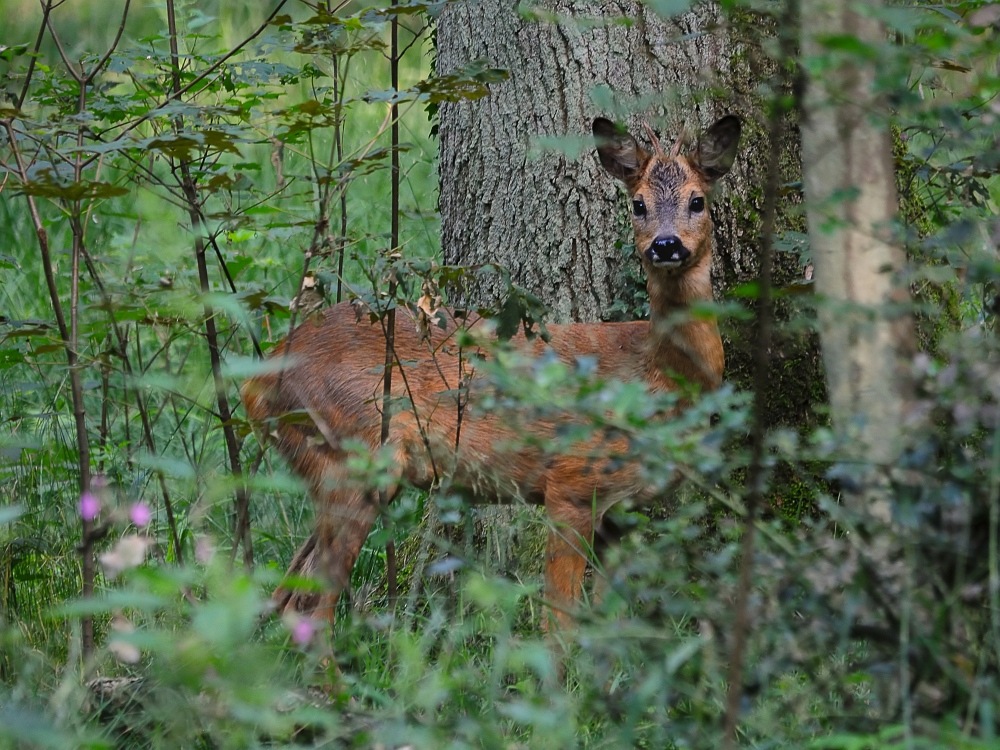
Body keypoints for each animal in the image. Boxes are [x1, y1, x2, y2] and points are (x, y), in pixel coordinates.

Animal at [242, 113, 742, 636]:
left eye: (697, 200)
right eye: (638, 203)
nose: (666, 245)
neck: (654, 377)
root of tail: (255, 383)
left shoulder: (622, 511)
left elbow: (609, 622)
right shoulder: (571, 483)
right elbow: (559, 622)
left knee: (287, 592)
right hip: (352, 454)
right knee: (312, 604)